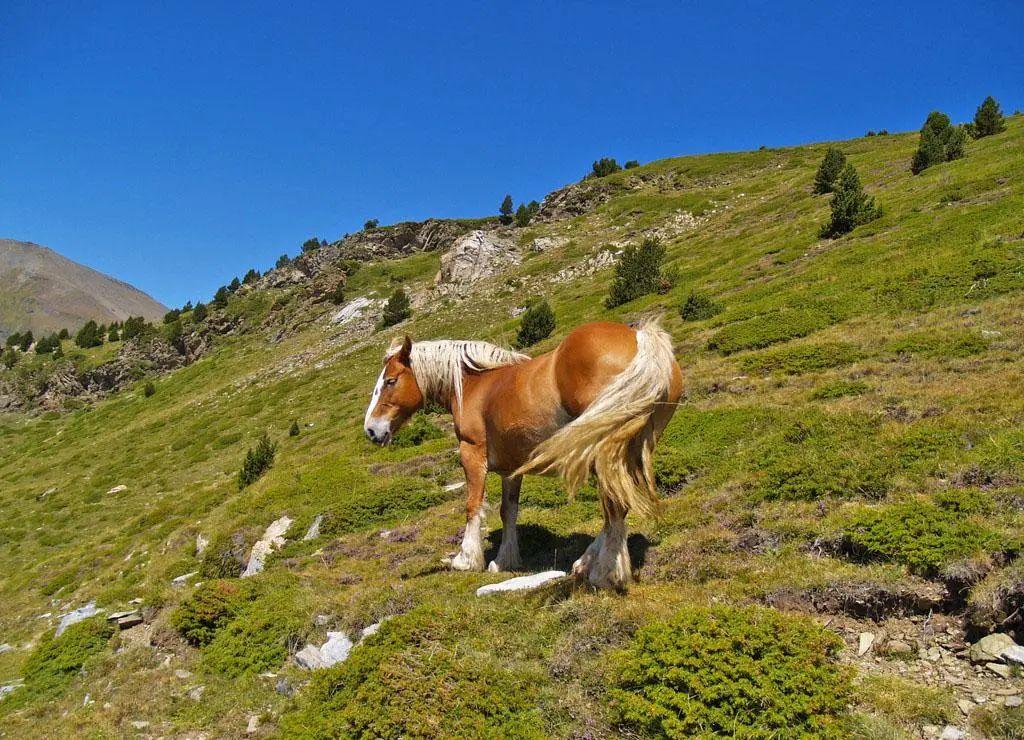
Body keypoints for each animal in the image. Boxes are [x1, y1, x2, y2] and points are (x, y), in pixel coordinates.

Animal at [364, 319, 684, 589]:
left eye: (391, 381)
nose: (371, 430)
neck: (474, 385)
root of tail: (640, 339)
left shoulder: (471, 453)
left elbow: (472, 505)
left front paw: (466, 559)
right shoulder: (510, 469)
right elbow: (509, 511)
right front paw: (504, 560)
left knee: (614, 505)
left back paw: (603, 572)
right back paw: (586, 563)